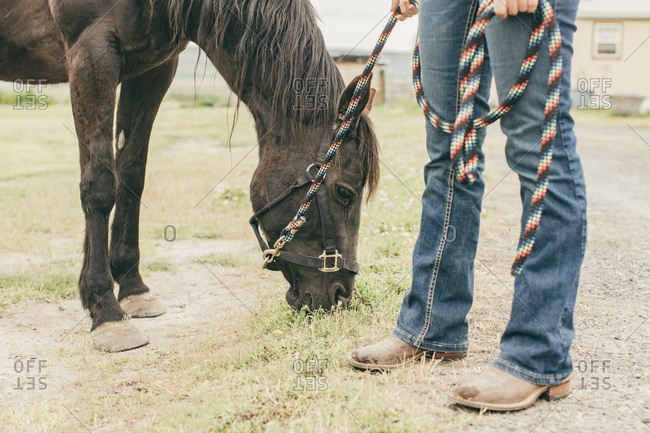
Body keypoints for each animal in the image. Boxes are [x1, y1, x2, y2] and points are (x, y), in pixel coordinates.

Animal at [0, 0, 380, 352]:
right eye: (345, 192)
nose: (341, 294)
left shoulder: (152, 69)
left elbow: (132, 176)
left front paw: (134, 289)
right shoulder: (91, 52)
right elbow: (100, 185)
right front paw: (105, 311)